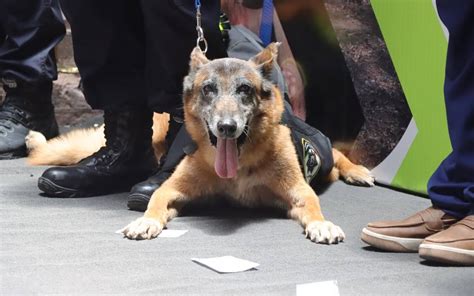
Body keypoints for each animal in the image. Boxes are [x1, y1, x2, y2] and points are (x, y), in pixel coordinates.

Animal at [26, 43, 374, 243]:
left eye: (244, 90)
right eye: (208, 89)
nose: (227, 128)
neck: (239, 168)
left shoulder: (299, 192)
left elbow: (313, 206)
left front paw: (322, 225)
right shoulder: (171, 189)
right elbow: (155, 201)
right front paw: (145, 221)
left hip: (325, 155)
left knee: (339, 154)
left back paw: (358, 171)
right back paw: (34, 139)